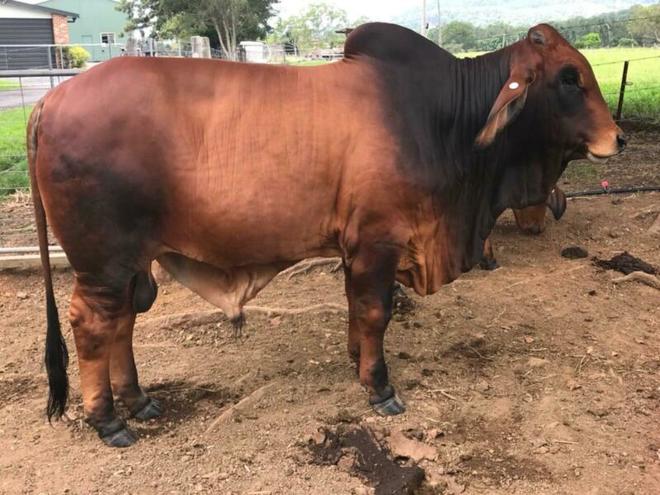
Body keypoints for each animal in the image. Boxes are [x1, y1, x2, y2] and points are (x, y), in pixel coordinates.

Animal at [28, 22, 624, 447]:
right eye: (568, 76)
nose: (617, 138)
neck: (443, 118)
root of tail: (50, 101)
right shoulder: (379, 240)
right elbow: (377, 311)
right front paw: (379, 387)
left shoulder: (355, 247)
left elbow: (357, 309)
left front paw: (354, 361)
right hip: (102, 259)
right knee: (93, 325)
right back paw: (109, 421)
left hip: (130, 260)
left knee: (122, 323)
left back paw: (139, 401)